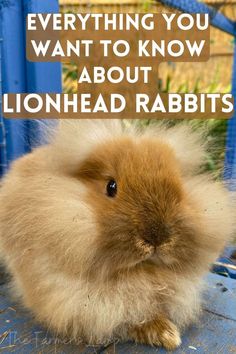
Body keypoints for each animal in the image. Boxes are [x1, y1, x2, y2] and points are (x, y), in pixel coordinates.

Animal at [0, 120, 234, 350]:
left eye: (180, 188)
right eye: (111, 186)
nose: (156, 238)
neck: (140, 273)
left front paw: (169, 336)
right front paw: (166, 335)